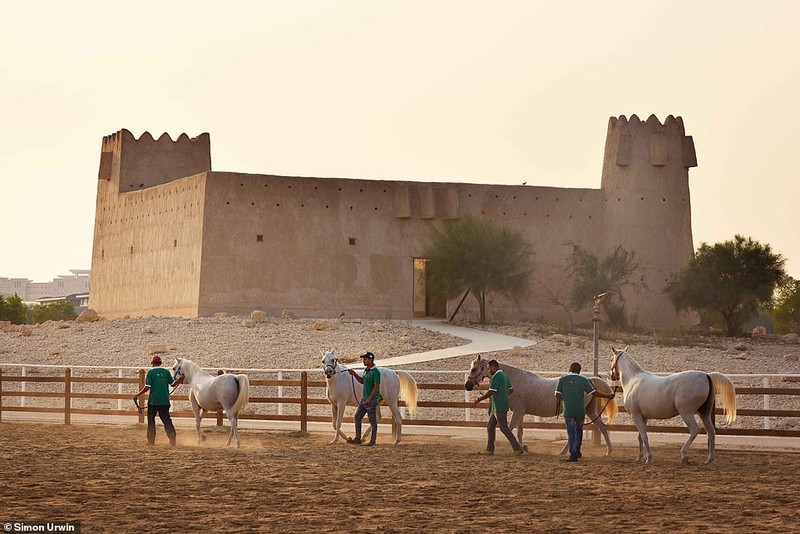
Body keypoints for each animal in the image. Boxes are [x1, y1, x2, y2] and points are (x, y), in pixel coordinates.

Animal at [462, 356, 620, 456]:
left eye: (474, 369)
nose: (467, 385)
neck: (514, 380)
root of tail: (589, 380)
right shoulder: (521, 413)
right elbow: (519, 432)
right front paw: (523, 447)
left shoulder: (517, 412)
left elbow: (509, 429)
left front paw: (520, 448)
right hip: (589, 411)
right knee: (601, 428)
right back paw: (607, 451)